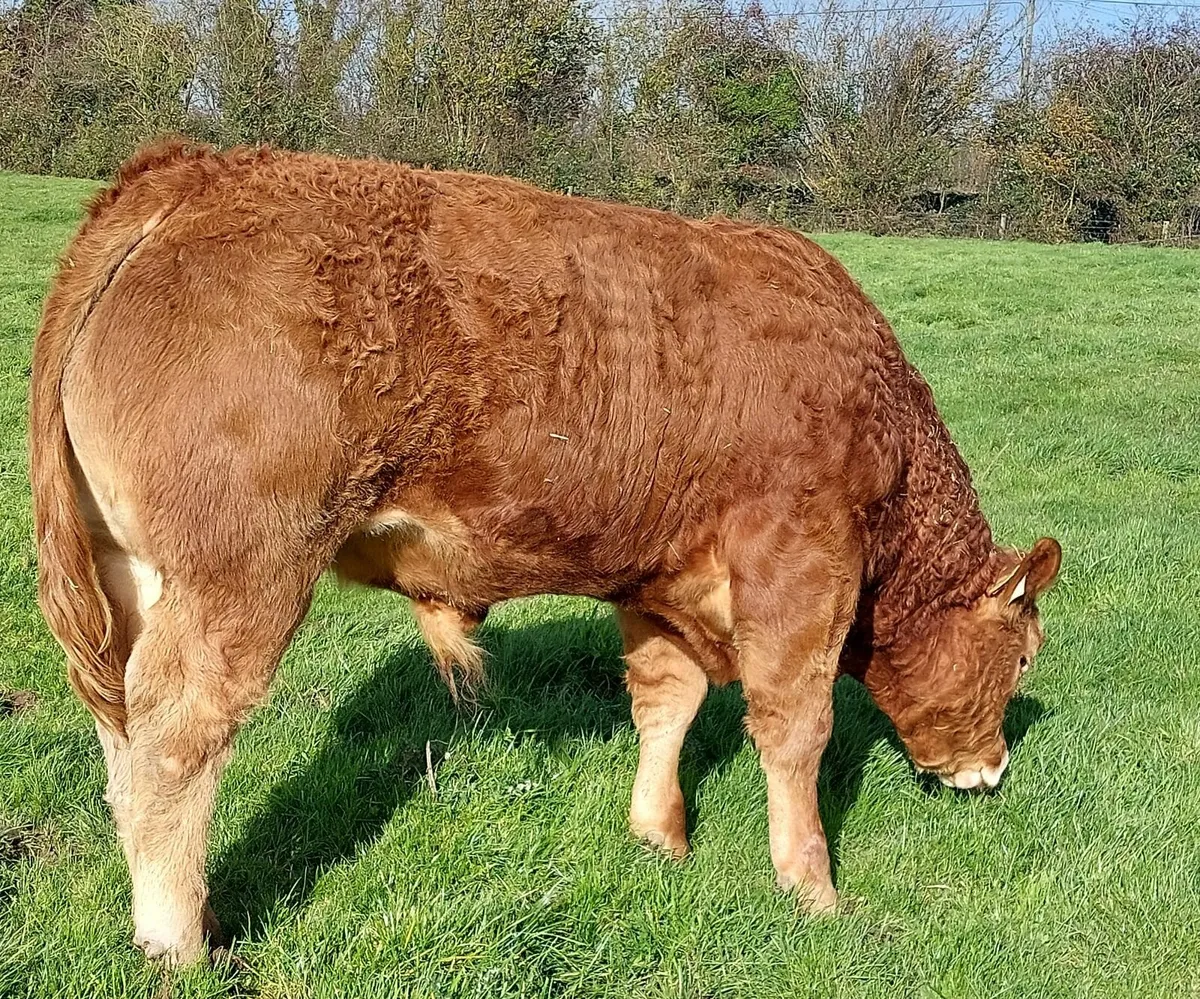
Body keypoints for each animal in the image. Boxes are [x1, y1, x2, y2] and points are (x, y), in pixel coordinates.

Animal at [30, 141, 1062, 966]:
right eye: (1022, 656)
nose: (994, 770)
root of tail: (196, 168)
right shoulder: (800, 567)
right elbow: (796, 728)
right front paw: (812, 889)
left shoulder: (661, 577)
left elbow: (667, 701)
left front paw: (659, 836)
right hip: (238, 578)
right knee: (179, 739)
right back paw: (180, 940)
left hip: (133, 579)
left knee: (124, 739)